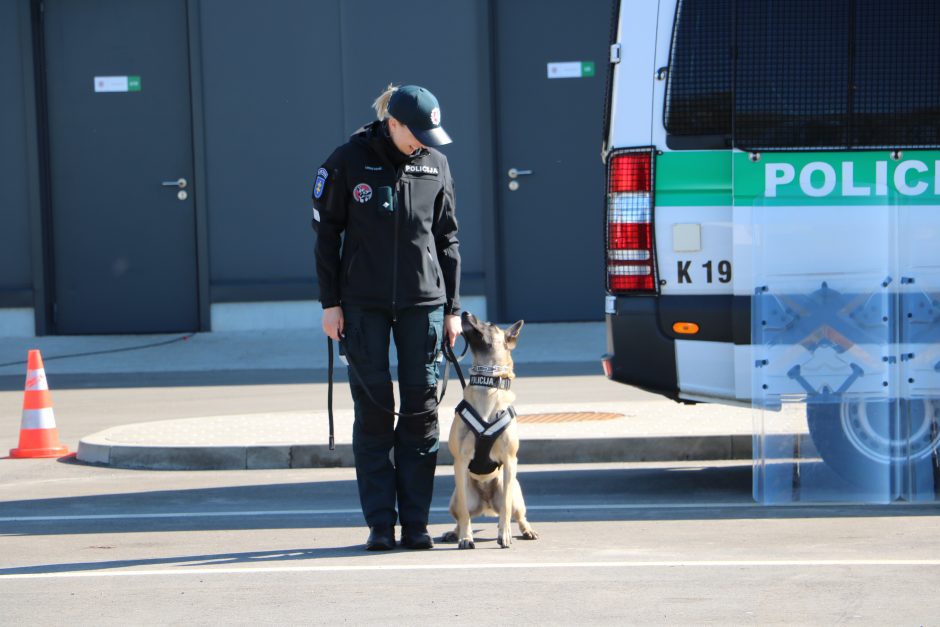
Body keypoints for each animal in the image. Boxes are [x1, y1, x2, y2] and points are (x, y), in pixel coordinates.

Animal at [440, 312, 536, 548]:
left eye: (490, 324)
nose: (464, 313)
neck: (487, 386)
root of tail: (485, 505)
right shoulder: (460, 462)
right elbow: (464, 513)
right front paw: (466, 537)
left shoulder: (510, 461)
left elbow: (506, 510)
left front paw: (505, 535)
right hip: (457, 495)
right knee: (461, 514)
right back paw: (455, 533)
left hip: (515, 493)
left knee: (516, 513)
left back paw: (526, 530)